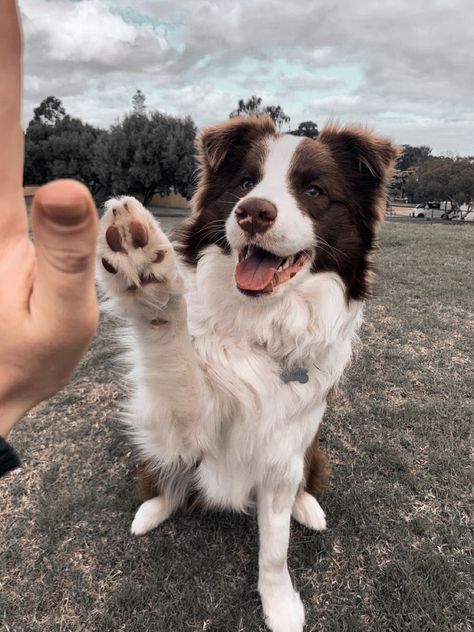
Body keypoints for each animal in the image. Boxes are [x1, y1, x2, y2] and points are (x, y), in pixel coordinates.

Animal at [95, 115, 396, 632]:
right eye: (244, 183)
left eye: (313, 190)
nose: (252, 212)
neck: (261, 326)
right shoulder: (189, 424)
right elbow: (170, 354)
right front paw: (145, 270)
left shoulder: (281, 452)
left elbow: (275, 550)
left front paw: (280, 604)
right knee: (165, 477)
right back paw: (154, 508)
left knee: (305, 476)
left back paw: (307, 507)